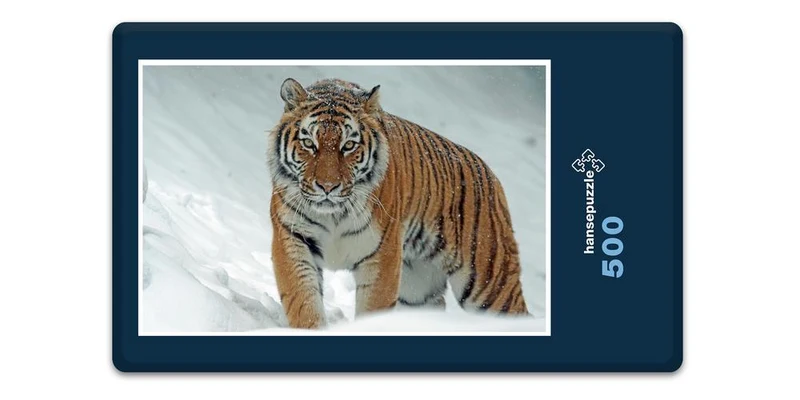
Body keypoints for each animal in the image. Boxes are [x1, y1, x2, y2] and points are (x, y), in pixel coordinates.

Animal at [266, 77, 529, 329]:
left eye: (348, 145)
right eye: (309, 144)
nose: (328, 187)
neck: (333, 215)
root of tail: (491, 175)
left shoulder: (382, 255)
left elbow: (373, 308)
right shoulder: (293, 239)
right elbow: (303, 301)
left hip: (490, 283)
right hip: (418, 289)